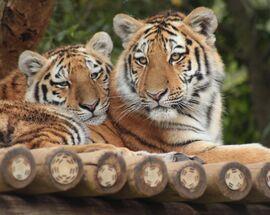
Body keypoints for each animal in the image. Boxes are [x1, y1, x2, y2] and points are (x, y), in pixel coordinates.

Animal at [88, 7, 270, 164]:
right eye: (142, 60)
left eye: (175, 57)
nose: (155, 95)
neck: (204, 110)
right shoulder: (191, 147)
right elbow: (251, 152)